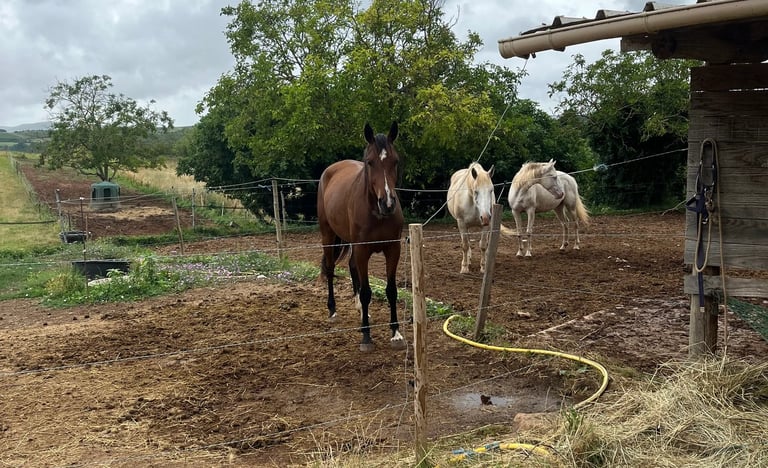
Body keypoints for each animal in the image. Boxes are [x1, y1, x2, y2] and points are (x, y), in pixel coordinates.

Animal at [317, 122, 406, 352]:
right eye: (370, 162)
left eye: (395, 161)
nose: (388, 203)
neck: (376, 212)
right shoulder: (363, 249)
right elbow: (366, 291)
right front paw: (366, 336)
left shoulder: (393, 249)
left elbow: (391, 290)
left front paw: (396, 333)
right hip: (328, 235)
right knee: (330, 269)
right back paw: (333, 310)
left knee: (351, 267)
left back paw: (359, 309)